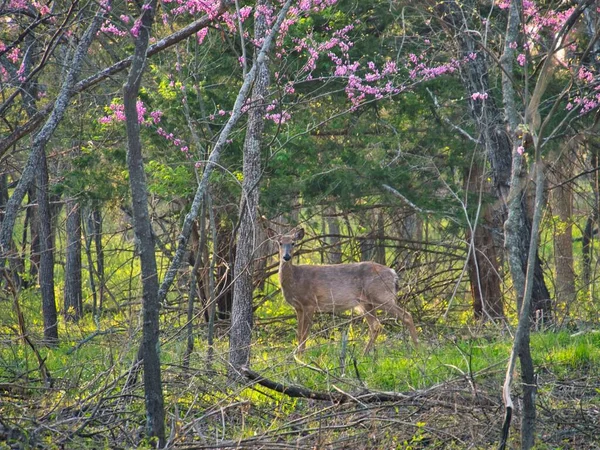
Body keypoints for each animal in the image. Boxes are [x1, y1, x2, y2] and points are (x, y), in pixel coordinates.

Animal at [268, 227, 418, 354]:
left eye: (293, 243)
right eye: (280, 243)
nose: (286, 257)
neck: (295, 279)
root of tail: (393, 273)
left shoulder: (310, 303)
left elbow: (305, 334)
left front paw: (300, 357)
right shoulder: (298, 307)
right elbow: (299, 334)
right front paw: (297, 356)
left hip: (382, 295)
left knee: (406, 315)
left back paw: (418, 349)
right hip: (366, 303)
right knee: (376, 325)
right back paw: (364, 354)